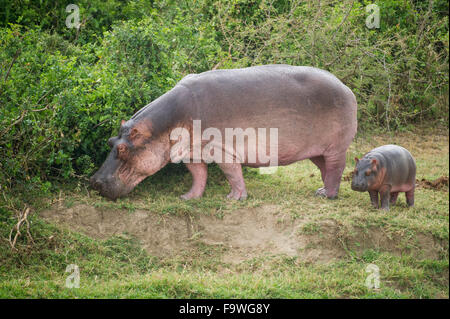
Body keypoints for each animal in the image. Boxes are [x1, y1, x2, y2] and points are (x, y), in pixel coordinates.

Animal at [91, 64, 356, 201]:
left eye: (123, 149)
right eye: (110, 140)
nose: (94, 182)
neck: (165, 125)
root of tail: (346, 87)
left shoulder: (221, 149)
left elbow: (232, 173)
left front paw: (233, 199)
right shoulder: (191, 152)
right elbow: (198, 175)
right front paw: (188, 198)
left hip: (336, 147)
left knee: (336, 168)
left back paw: (328, 195)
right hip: (317, 150)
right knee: (325, 168)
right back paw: (320, 191)